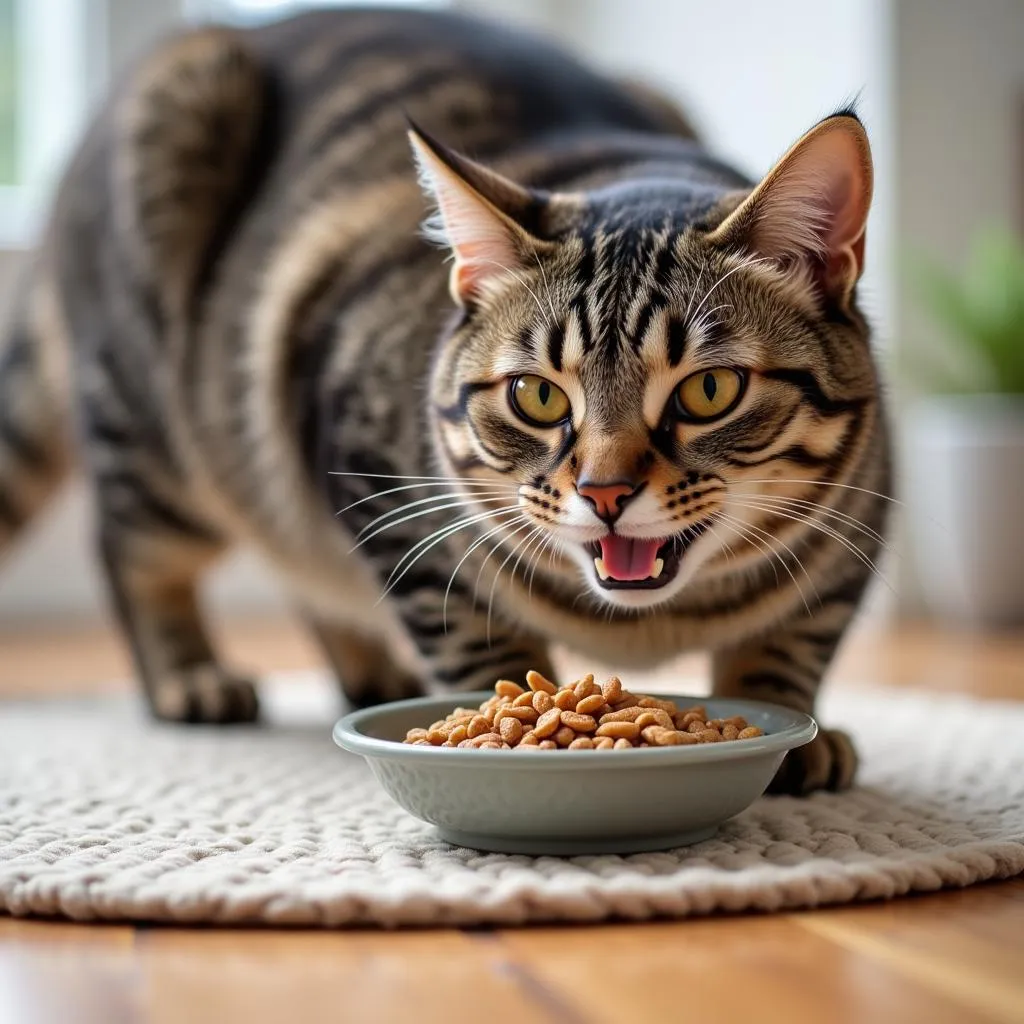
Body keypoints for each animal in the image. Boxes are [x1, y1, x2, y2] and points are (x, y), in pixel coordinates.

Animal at [0, 6, 888, 790]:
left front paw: (793, 731)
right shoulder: (378, 491)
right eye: (537, 397)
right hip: (159, 424)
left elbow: (789, 645)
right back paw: (190, 675)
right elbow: (476, 641)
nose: (604, 493)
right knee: (134, 551)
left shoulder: (855, 535)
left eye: (709, 389)